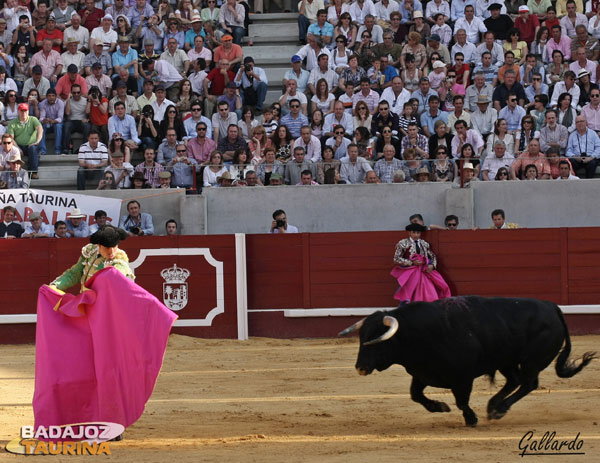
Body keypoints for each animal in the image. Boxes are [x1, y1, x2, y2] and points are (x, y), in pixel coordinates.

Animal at [338, 298, 596, 428]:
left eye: (377, 340)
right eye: (361, 338)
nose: (360, 368)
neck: (419, 334)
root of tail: (553, 308)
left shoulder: (462, 377)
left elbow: (461, 401)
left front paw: (470, 419)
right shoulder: (422, 374)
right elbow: (416, 395)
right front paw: (440, 407)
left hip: (532, 360)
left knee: (528, 383)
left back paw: (499, 409)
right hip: (506, 360)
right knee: (515, 381)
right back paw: (493, 407)